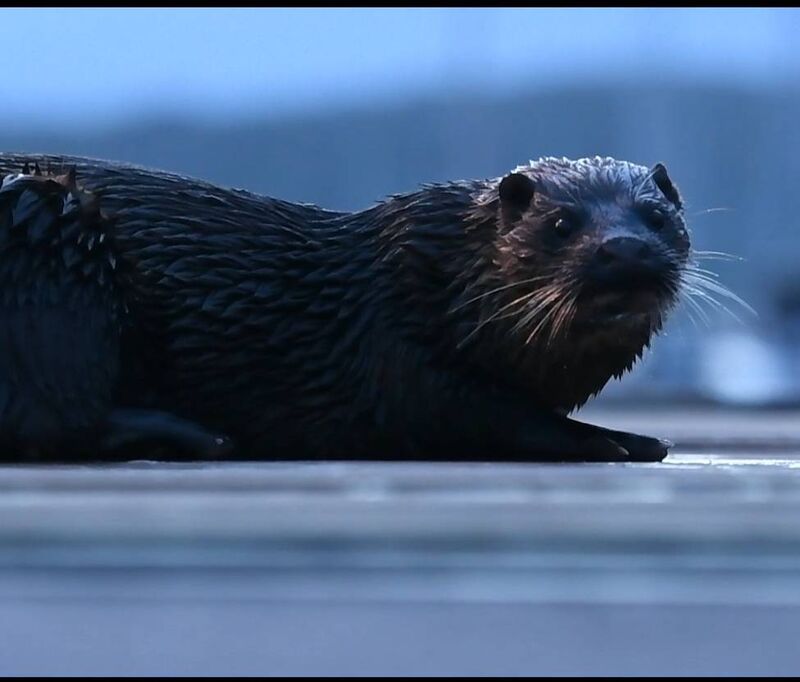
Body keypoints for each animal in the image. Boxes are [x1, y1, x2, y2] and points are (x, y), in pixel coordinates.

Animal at [0, 153, 691, 462]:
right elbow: (487, 415)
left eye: (656, 218)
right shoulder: (398, 354)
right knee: (55, 419)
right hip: (47, 235)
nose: (626, 249)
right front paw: (620, 438)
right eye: (561, 223)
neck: (435, 284)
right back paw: (201, 435)